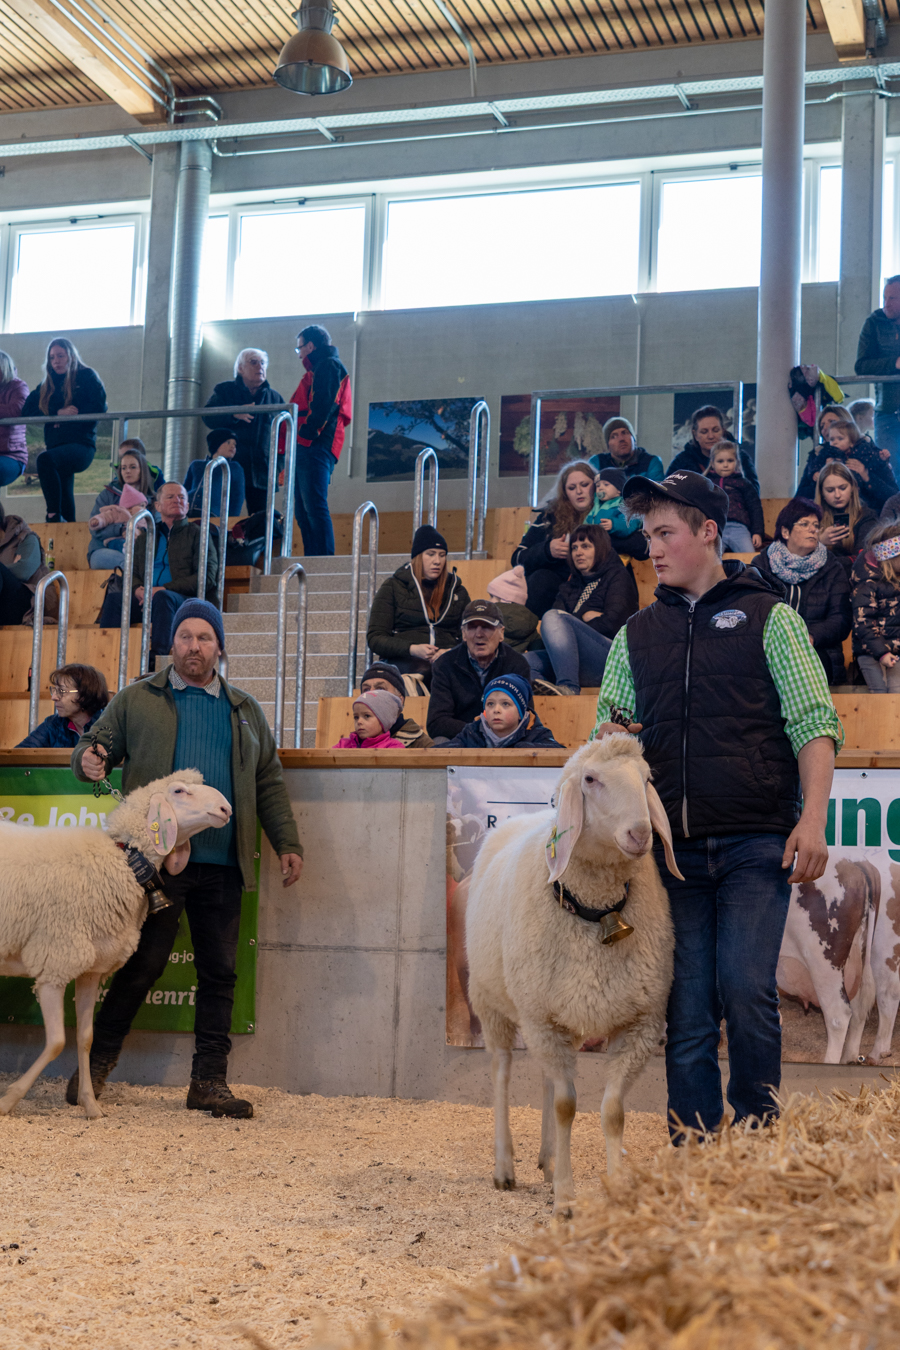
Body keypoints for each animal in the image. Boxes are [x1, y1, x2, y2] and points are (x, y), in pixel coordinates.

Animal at [0, 770, 232, 1119]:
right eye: (179, 791)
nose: (226, 808)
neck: (124, 860)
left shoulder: (91, 969)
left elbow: (85, 1038)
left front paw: (90, 1105)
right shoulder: (55, 962)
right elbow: (56, 1042)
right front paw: (9, 1100)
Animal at [465, 734, 681, 1217]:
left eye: (646, 779)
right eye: (591, 779)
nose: (641, 834)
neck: (595, 910)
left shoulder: (639, 1024)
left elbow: (613, 1110)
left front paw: (614, 1190)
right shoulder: (541, 1018)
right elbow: (566, 1106)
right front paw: (565, 1198)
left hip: (557, 1015)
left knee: (546, 1075)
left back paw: (546, 1159)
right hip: (495, 1003)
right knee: (502, 1072)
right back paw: (504, 1166)